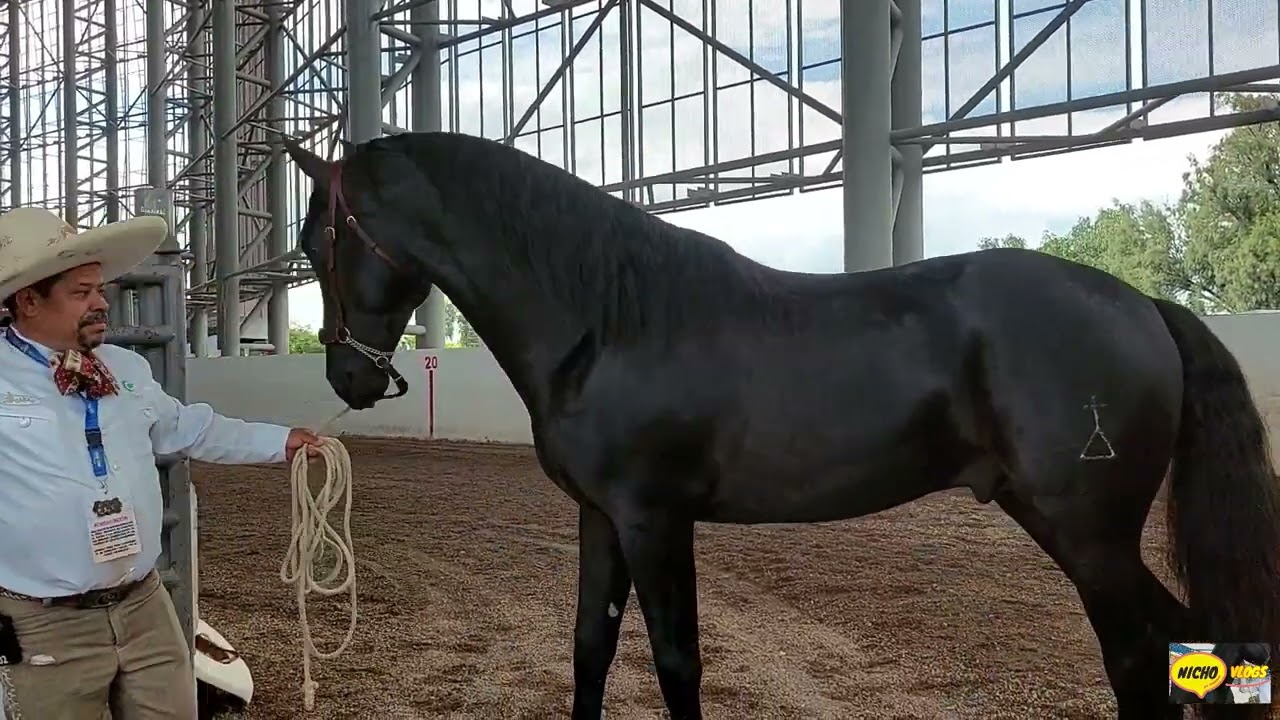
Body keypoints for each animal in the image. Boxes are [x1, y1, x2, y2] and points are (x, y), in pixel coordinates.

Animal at [280, 130, 1280, 720]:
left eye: (314, 238)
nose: (345, 377)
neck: (609, 318)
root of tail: (1144, 306)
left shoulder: (655, 518)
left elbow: (677, 661)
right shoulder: (601, 517)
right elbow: (590, 651)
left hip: (1089, 536)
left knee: (1140, 657)